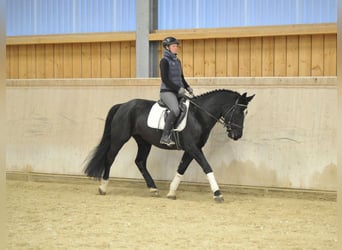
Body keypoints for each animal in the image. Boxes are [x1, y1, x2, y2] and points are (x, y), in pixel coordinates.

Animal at [83, 89, 254, 202]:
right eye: (238, 112)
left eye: (245, 113)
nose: (237, 135)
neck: (199, 115)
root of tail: (123, 105)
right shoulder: (193, 148)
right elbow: (207, 166)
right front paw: (218, 193)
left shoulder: (192, 149)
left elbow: (182, 168)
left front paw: (171, 192)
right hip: (120, 138)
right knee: (110, 158)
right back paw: (103, 187)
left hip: (144, 142)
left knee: (140, 162)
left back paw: (153, 188)